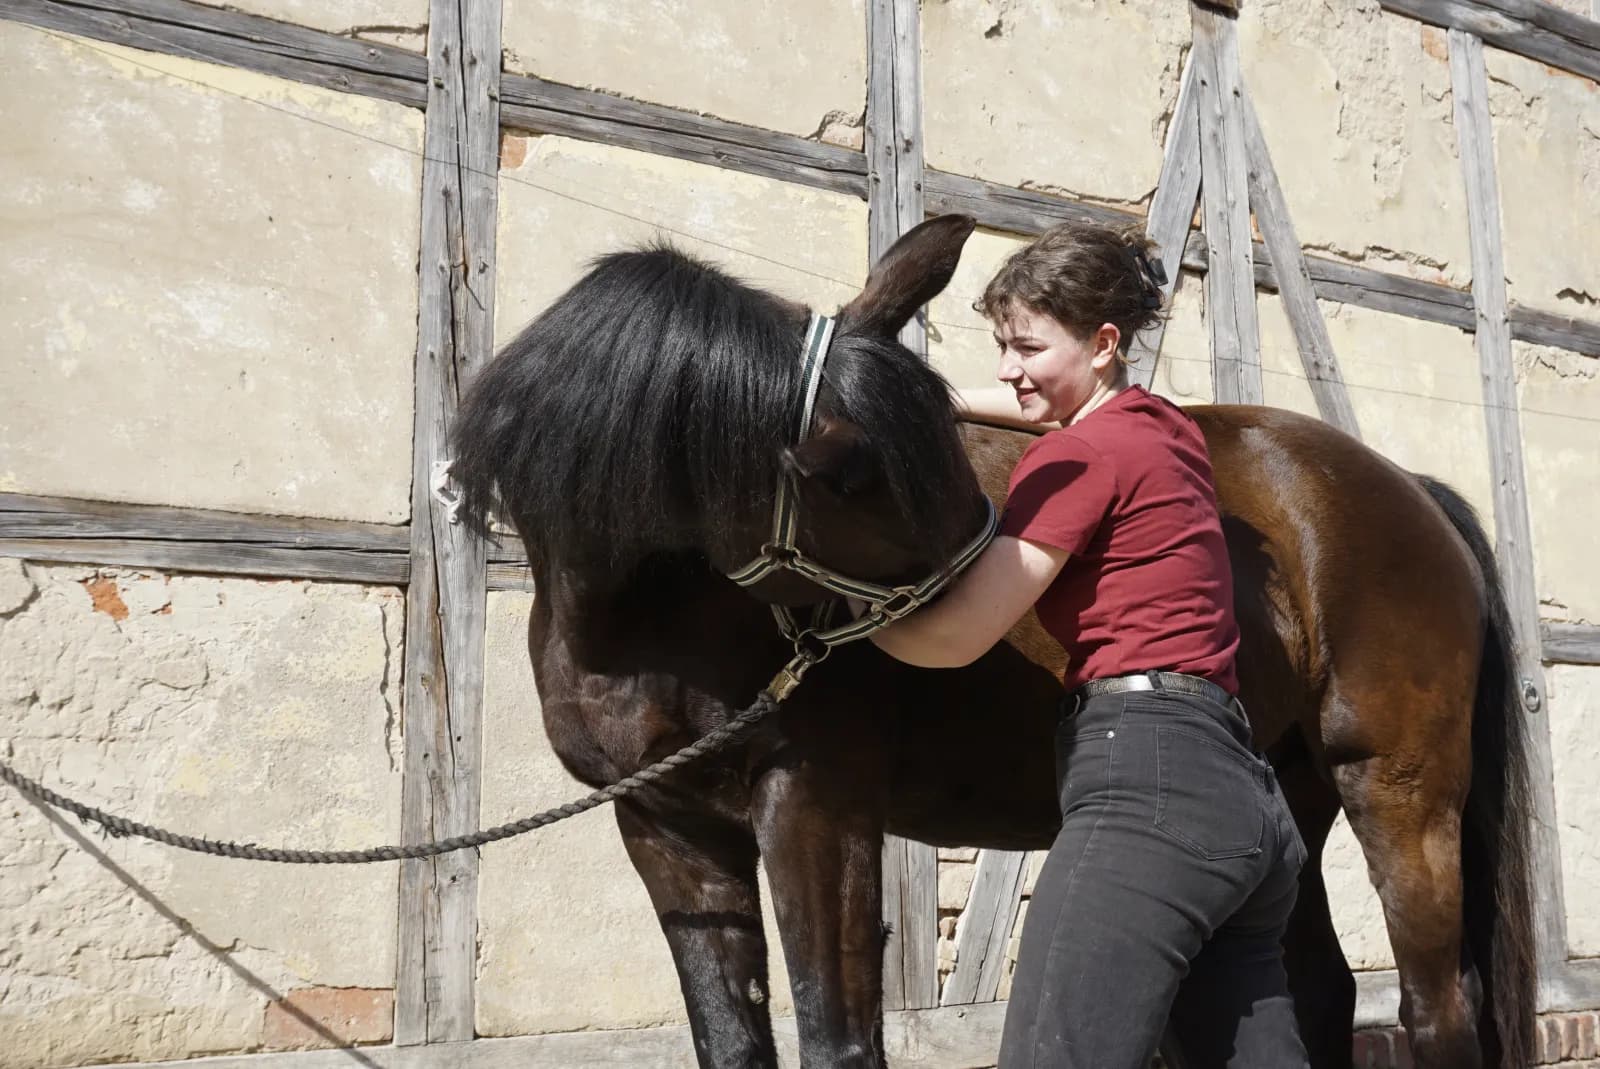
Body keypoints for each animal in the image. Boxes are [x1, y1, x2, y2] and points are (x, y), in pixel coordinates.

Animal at [450, 215, 1535, 1069]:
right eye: (847, 471)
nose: (977, 593)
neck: (649, 625)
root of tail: (1403, 487)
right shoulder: (669, 831)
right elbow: (731, 1038)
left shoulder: (813, 807)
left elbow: (838, 1038)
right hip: (1292, 797)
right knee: (1314, 988)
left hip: (1397, 789)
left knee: (1438, 1005)